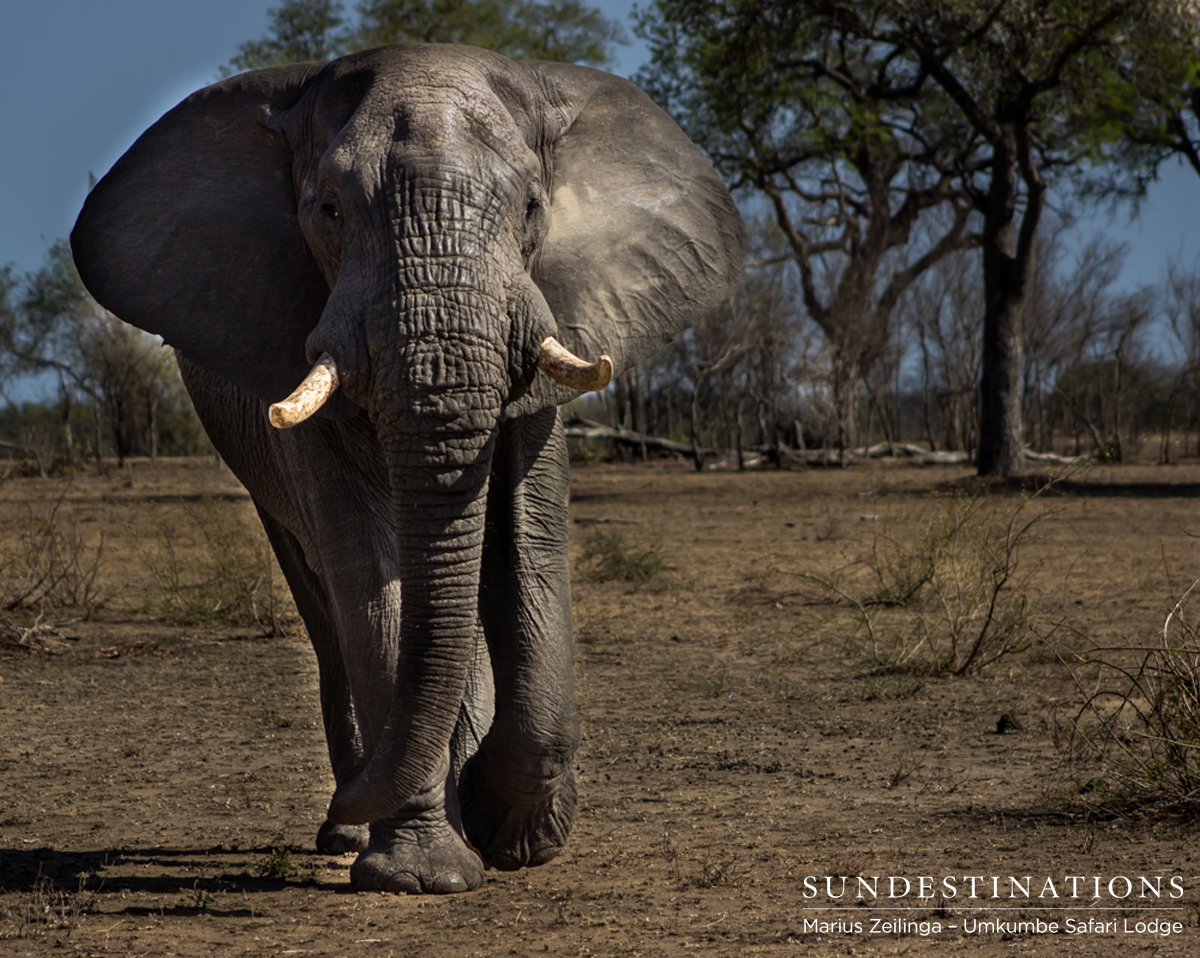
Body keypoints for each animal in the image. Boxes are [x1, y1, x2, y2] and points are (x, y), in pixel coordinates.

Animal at [71, 43, 745, 894]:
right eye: (327, 209)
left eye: (532, 207)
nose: (349, 799)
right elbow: (370, 571)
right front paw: (423, 873)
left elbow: (526, 543)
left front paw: (511, 833)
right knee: (323, 594)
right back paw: (353, 825)